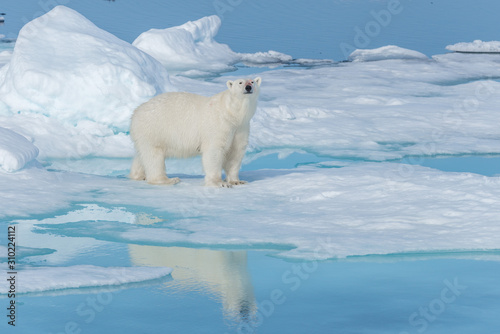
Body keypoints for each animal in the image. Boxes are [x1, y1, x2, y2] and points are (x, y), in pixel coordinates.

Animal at [129, 77, 262, 188]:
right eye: (240, 82)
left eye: (252, 81)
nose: (248, 87)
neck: (232, 113)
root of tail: (136, 112)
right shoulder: (218, 124)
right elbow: (214, 151)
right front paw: (219, 183)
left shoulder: (241, 127)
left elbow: (235, 152)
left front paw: (237, 181)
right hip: (154, 128)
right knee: (154, 155)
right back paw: (168, 180)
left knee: (142, 155)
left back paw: (138, 175)